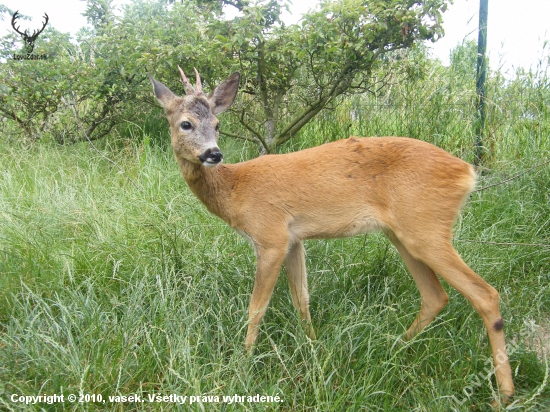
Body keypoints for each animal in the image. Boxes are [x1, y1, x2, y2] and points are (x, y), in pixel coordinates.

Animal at [149, 68, 516, 402]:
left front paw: (242, 364)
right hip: (404, 234)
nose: (214, 154)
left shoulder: (270, 236)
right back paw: (395, 348)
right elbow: (302, 299)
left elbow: (257, 306)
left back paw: (504, 393)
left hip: (426, 229)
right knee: (435, 296)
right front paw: (313, 349)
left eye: (217, 124)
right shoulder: (294, 239)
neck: (235, 189)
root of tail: (467, 171)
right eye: (186, 123)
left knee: (485, 294)